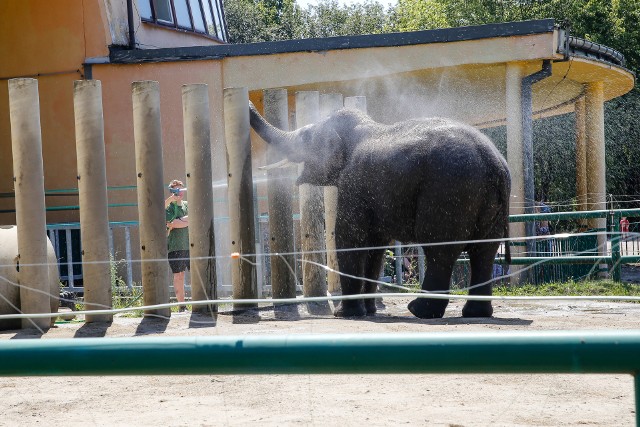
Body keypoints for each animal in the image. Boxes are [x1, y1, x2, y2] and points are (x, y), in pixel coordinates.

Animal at [249, 103, 510, 318]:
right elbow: (375, 245)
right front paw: (369, 310)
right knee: (484, 252)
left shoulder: (353, 183)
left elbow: (349, 238)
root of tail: (495, 165)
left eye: (305, 136)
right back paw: (476, 313)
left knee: (440, 250)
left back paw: (419, 311)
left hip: (448, 193)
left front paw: (346, 314)